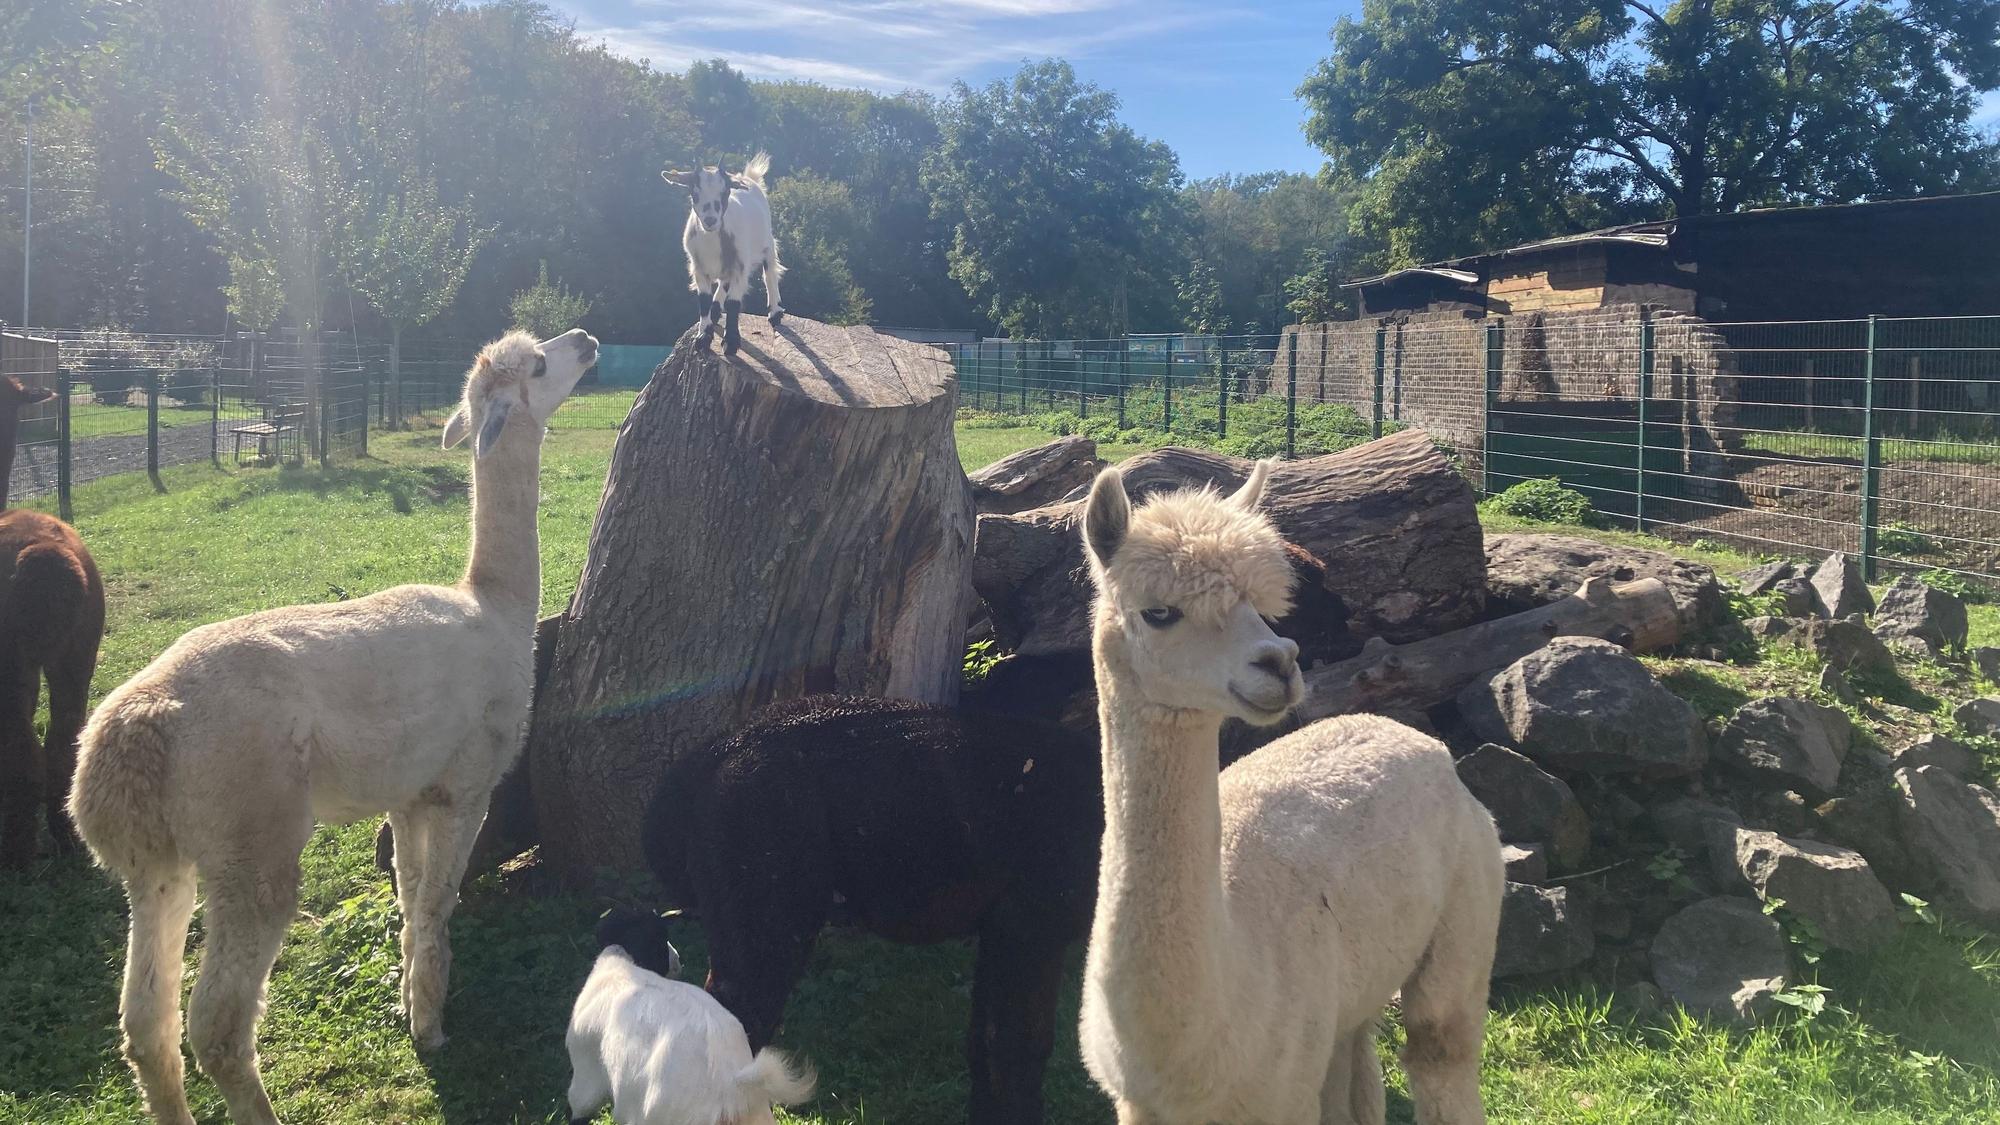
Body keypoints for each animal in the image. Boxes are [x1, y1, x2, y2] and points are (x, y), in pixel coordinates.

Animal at [661, 152, 784, 356]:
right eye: (695, 193)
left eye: (725, 192)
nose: (710, 220)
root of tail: (748, 178)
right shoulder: (699, 268)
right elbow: (703, 300)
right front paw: (703, 337)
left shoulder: (740, 267)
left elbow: (733, 303)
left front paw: (731, 343)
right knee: (723, 284)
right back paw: (715, 312)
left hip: (767, 242)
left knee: (770, 273)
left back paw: (775, 312)